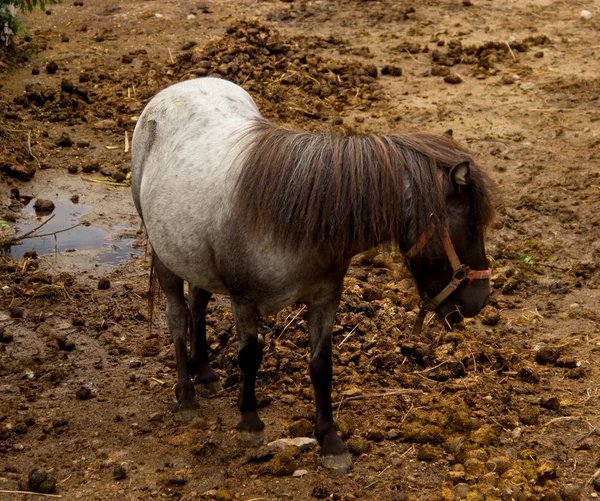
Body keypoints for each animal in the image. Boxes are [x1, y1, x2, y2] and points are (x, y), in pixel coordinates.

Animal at [132, 77, 496, 468]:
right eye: (472, 227)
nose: (479, 301)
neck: (293, 217)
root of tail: (180, 87)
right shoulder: (244, 302)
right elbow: (249, 358)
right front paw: (250, 423)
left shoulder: (325, 298)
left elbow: (321, 365)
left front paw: (329, 439)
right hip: (165, 255)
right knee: (177, 316)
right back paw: (186, 394)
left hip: (196, 258)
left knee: (198, 303)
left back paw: (205, 372)